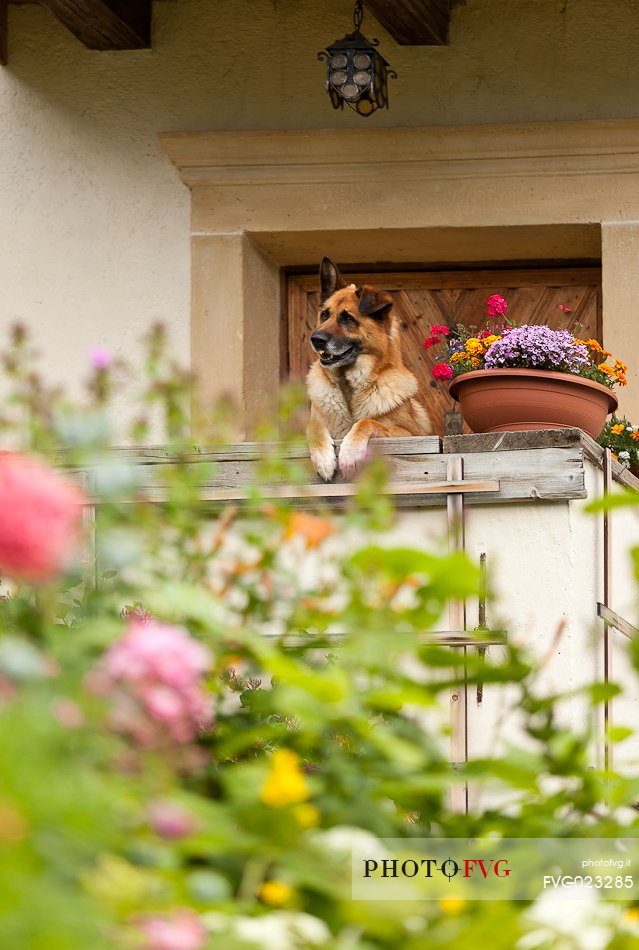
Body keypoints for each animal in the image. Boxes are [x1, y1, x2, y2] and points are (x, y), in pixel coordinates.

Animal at [308, 258, 432, 484]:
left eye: (348, 318)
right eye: (324, 315)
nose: (316, 339)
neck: (349, 388)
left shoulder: (412, 434)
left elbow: (367, 422)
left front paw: (350, 453)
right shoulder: (313, 423)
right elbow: (312, 426)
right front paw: (323, 458)